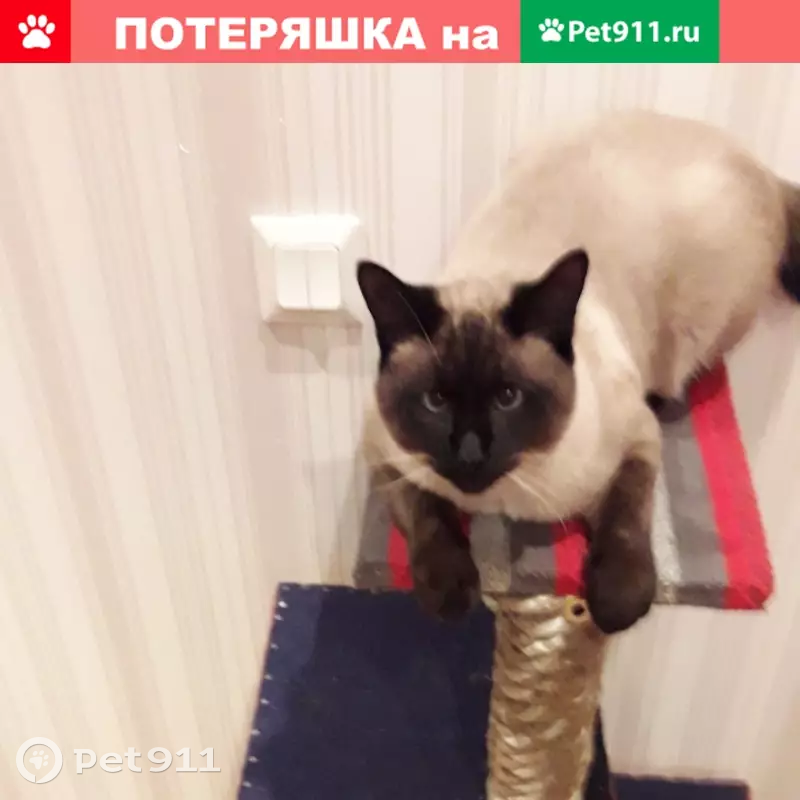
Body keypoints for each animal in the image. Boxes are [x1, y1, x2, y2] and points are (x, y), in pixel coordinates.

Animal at [357, 110, 800, 634]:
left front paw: (617, 601)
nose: (469, 453)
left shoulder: (636, 441)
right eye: (435, 401)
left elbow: (626, 517)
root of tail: (761, 167)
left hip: (696, 324)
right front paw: (448, 593)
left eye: (508, 397)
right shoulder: (386, 456)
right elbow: (428, 515)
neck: (500, 503)